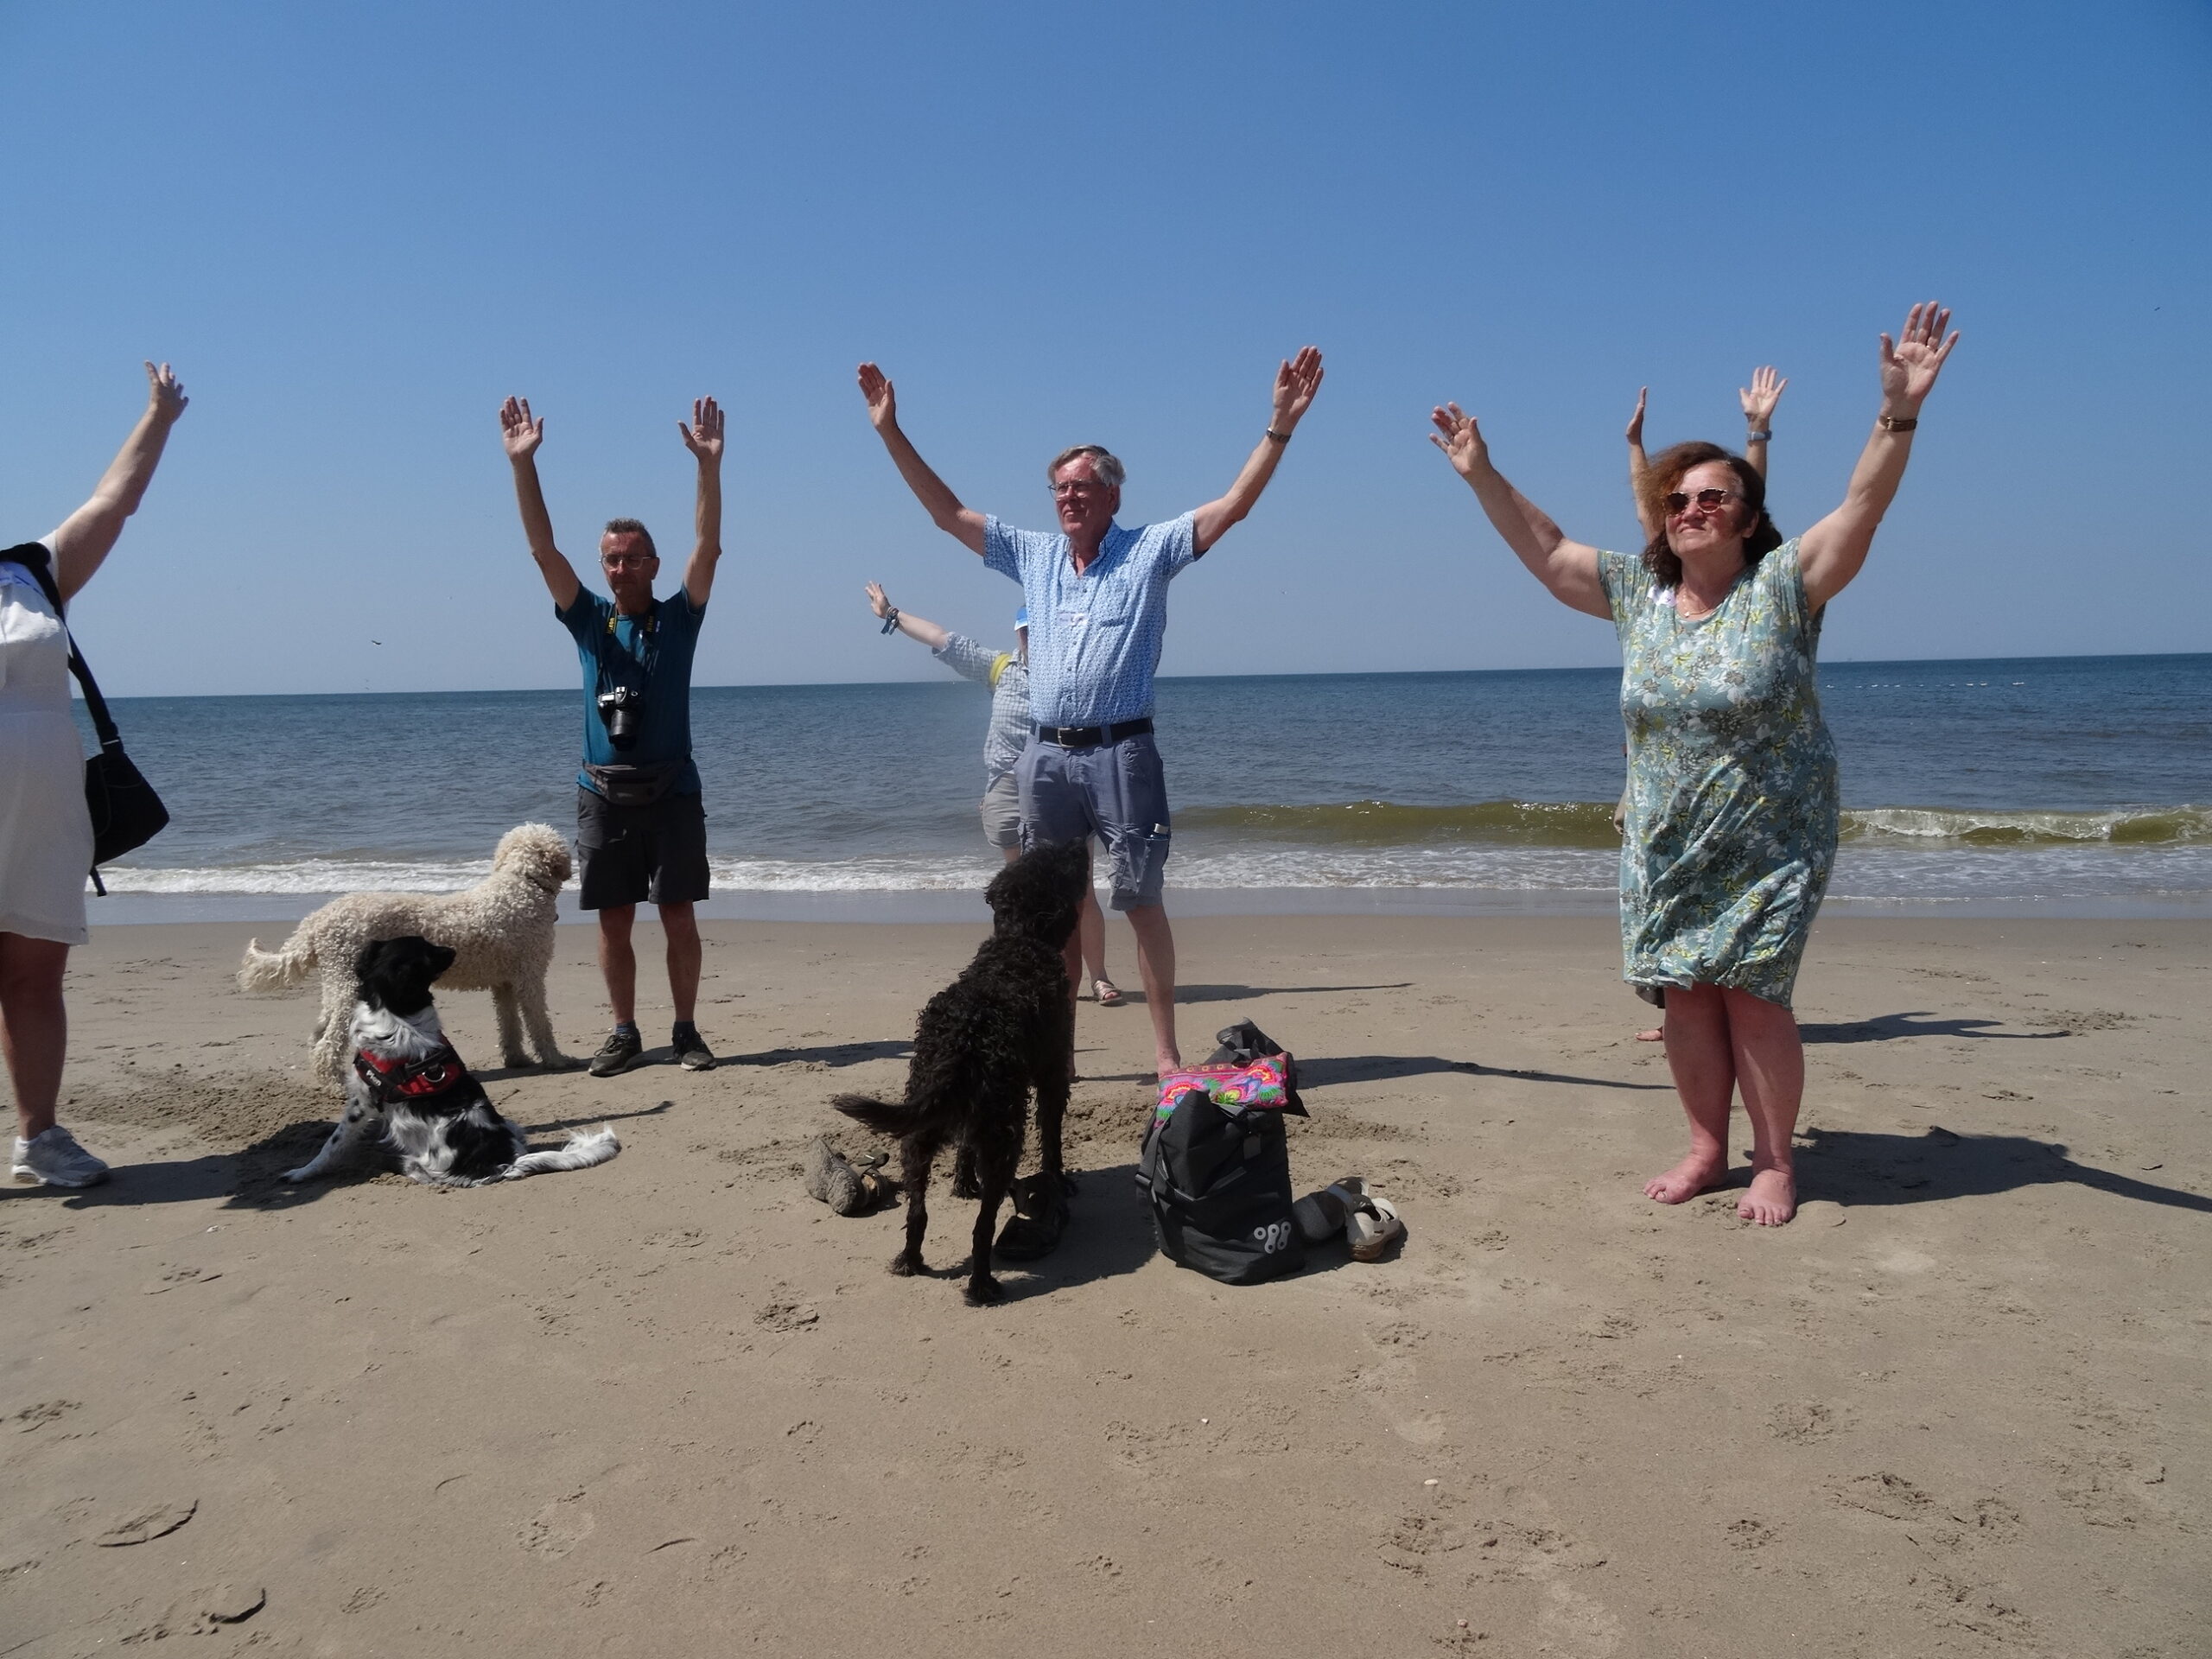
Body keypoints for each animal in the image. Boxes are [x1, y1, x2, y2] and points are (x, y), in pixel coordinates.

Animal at [240, 823, 573, 1083]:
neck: (521, 885)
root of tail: (317, 919)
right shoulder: (530, 977)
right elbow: (540, 1022)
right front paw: (555, 1059)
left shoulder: (504, 983)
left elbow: (510, 1025)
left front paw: (517, 1059)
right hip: (349, 983)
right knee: (329, 1041)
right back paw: (335, 1084)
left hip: (336, 983)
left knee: (320, 1032)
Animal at [284, 935, 620, 1188]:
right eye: (428, 948)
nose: (453, 949)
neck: (397, 1012)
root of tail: (503, 1163)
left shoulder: (362, 1101)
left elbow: (332, 1144)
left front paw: (302, 1172)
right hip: (510, 1125)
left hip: (418, 1162)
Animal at [831, 840, 1088, 1305]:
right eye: (1060, 862)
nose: (1079, 843)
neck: (1018, 941)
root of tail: (962, 1041)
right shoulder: (1053, 1072)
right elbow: (1053, 1137)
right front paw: (1060, 1181)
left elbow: (964, 1149)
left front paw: (962, 1183)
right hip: (1003, 1136)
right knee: (983, 1226)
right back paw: (982, 1285)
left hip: (921, 1131)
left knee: (917, 1212)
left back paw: (910, 1261)